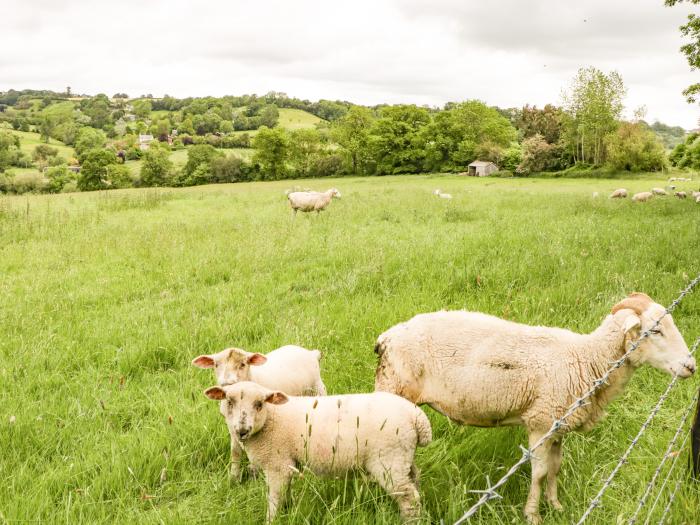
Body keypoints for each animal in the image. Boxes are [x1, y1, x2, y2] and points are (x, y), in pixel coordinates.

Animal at [190, 344, 324, 478]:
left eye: (243, 364)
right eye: (216, 365)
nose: (227, 384)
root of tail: (309, 352)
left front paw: (254, 470)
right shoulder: (231, 424)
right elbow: (235, 451)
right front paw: (234, 477)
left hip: (318, 389)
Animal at [202, 380, 432, 520]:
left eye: (259, 404)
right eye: (229, 402)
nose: (241, 431)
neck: (272, 419)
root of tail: (418, 418)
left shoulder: (277, 465)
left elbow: (274, 498)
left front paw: (271, 519)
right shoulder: (287, 465)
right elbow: (285, 493)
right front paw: (288, 510)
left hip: (388, 461)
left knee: (408, 497)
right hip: (402, 456)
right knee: (415, 480)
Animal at [372, 292, 696, 520]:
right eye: (655, 331)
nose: (691, 366)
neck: (588, 359)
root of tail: (386, 337)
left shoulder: (558, 424)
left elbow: (555, 468)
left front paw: (556, 506)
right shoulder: (540, 422)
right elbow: (539, 472)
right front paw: (533, 514)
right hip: (391, 393)